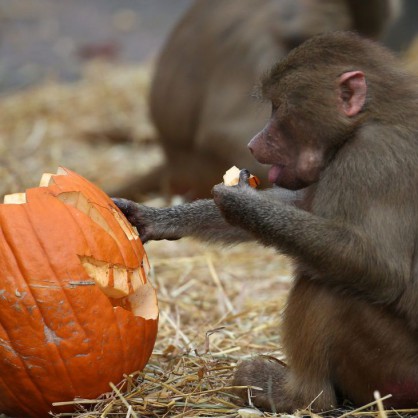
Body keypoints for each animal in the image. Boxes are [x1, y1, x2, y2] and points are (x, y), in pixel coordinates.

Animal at [115, 32, 418, 412]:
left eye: (278, 108)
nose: (253, 144)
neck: (368, 119)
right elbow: (300, 204)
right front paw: (155, 219)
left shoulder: (373, 159)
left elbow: (379, 267)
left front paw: (240, 202)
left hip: (394, 363)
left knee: (323, 284)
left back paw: (299, 395)